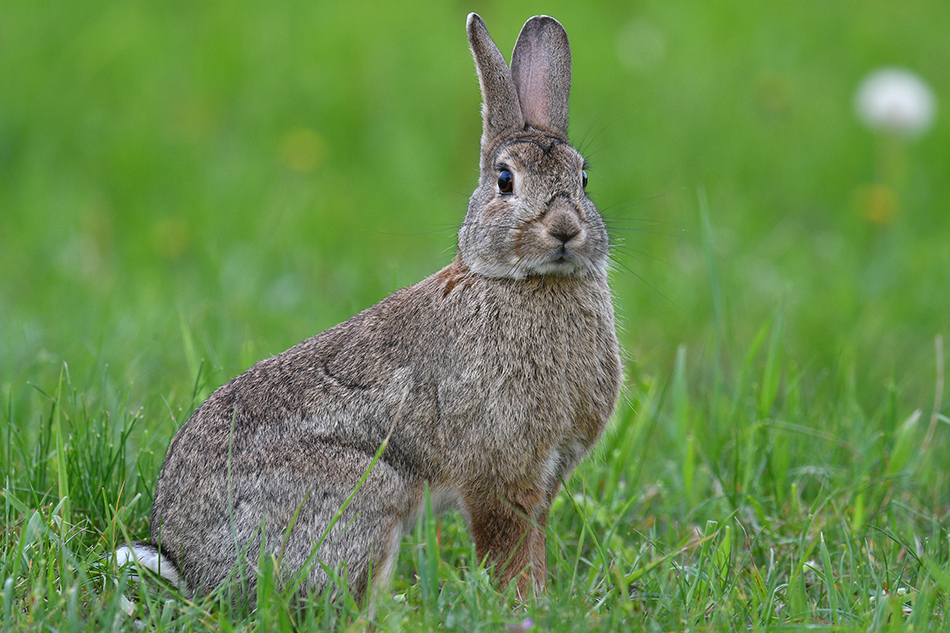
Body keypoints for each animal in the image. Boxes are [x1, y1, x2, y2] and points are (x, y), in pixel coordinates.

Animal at [117, 13, 624, 608]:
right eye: (505, 180)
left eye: (583, 178)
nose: (566, 228)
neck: (523, 281)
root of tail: (189, 566)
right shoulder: (500, 470)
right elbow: (508, 545)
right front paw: (521, 606)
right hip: (365, 497)